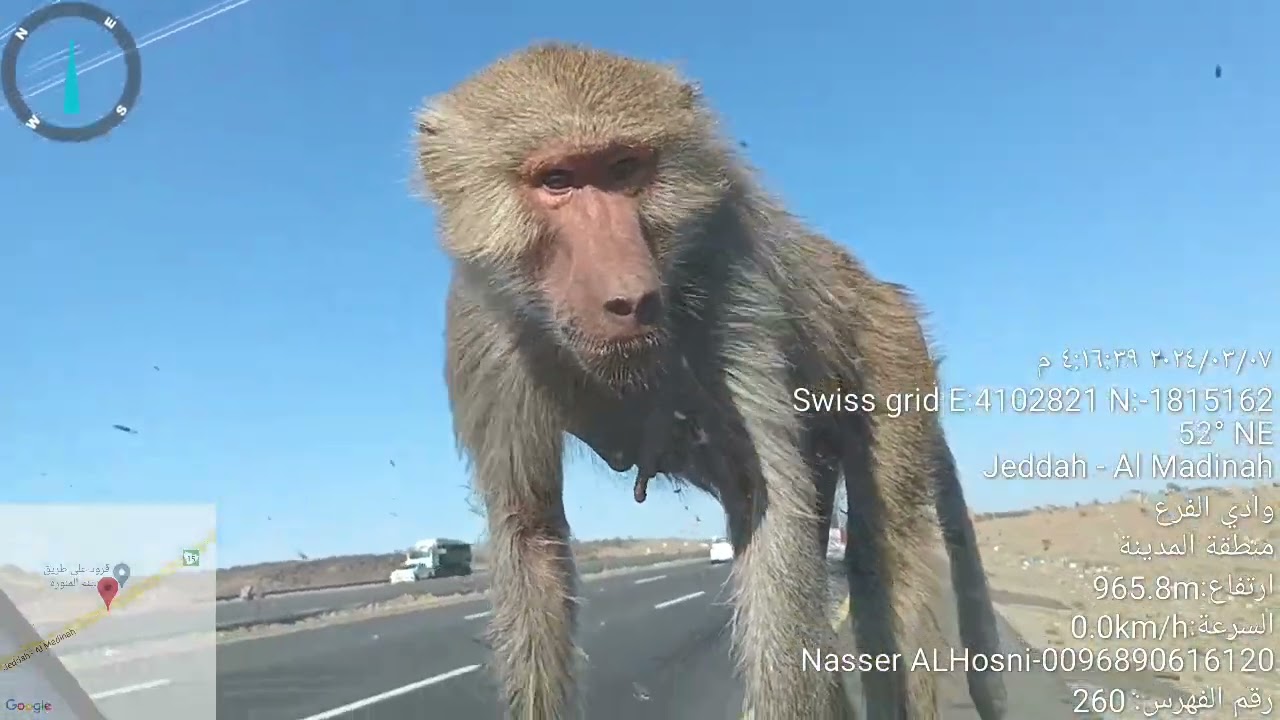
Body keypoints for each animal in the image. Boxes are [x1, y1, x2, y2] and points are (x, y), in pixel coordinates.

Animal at [415, 43, 1004, 719]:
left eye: (624, 168)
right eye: (557, 181)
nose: (630, 298)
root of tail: (881, 291)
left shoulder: (733, 288)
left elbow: (767, 508)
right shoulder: (481, 327)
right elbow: (530, 533)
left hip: (894, 357)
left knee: (882, 558)